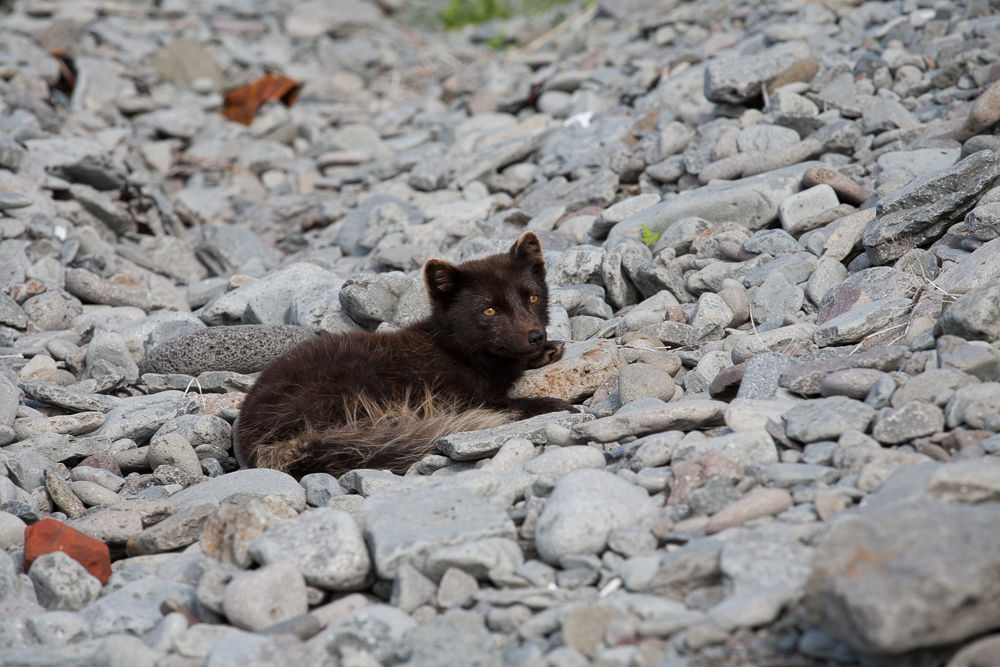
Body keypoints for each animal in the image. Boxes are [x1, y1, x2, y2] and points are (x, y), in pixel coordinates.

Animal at [235, 232, 577, 479]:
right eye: (490, 310)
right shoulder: (466, 399)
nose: (536, 336)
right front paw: (554, 405)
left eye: (532, 298)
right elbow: (516, 403)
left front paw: (547, 350)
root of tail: (253, 438)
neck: (453, 349)